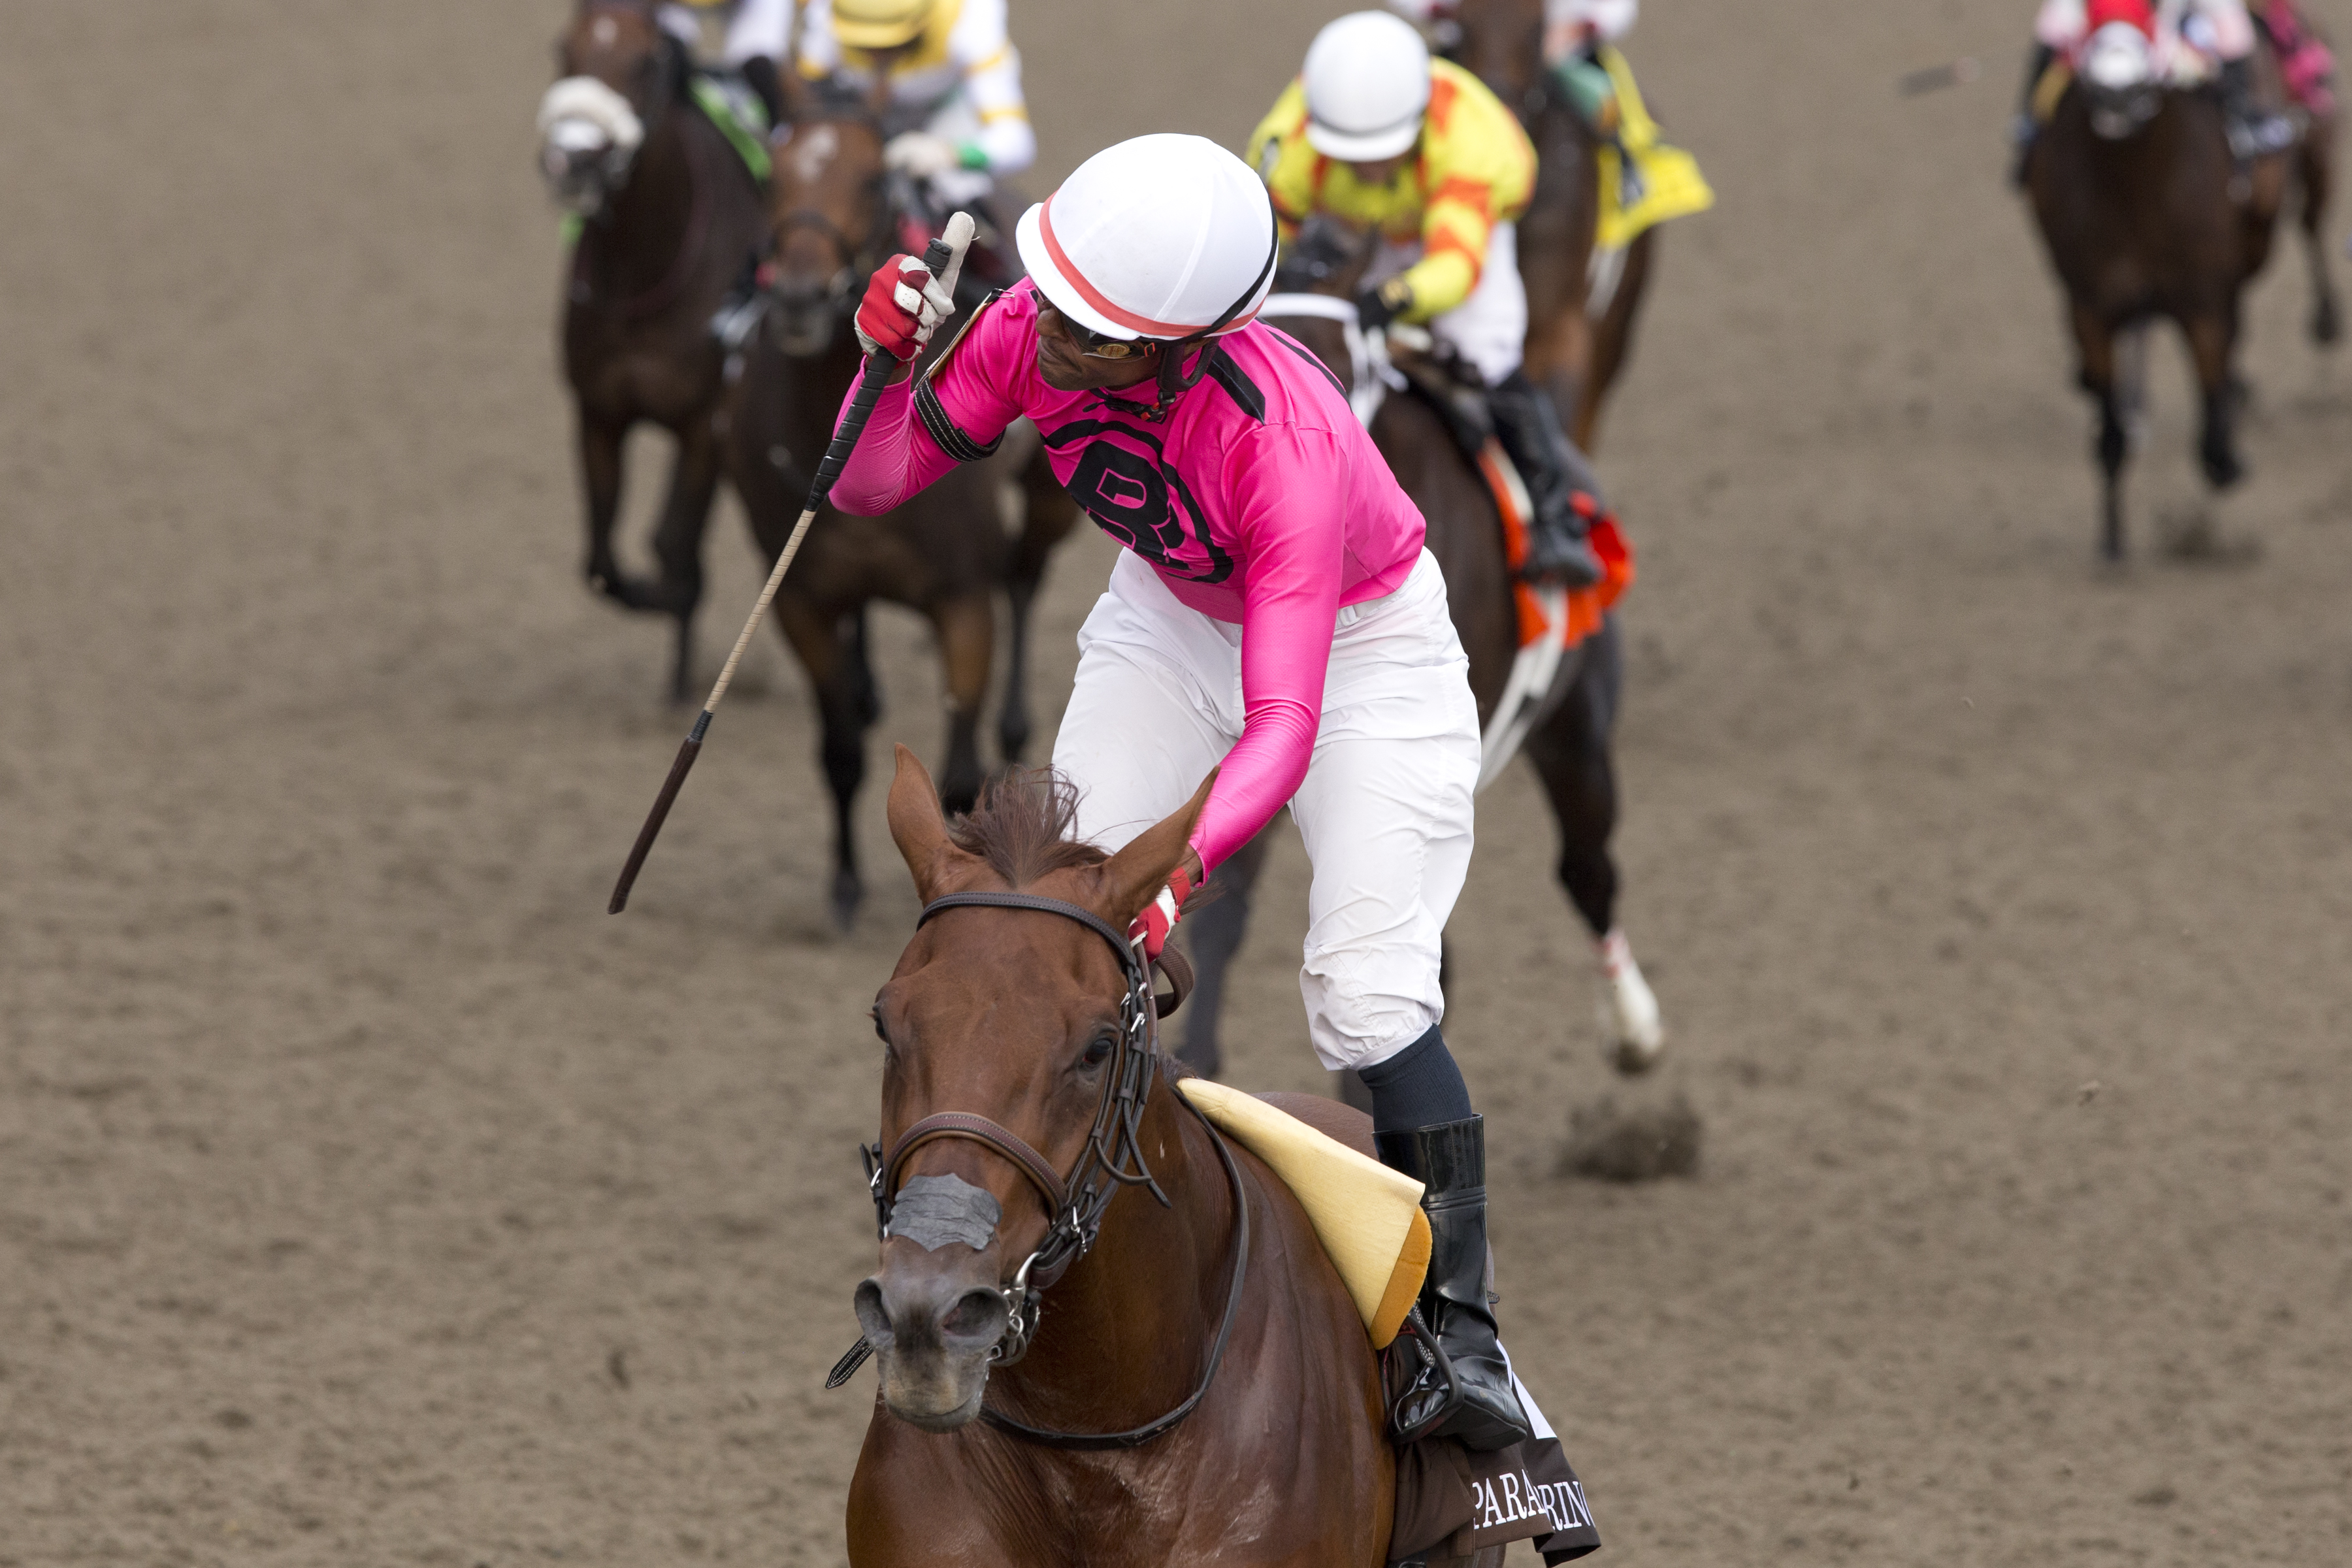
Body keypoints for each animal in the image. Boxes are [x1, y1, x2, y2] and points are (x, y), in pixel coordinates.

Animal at [538, 0, 762, 700]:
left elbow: (673, 548)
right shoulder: (599, 412)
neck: (646, 269)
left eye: (644, 61)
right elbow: (602, 565)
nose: (573, 159)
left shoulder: (702, 424)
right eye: (564, 49)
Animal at [729, 80, 1077, 926]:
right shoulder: (803, 600)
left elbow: (958, 776)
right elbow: (841, 748)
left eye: (869, 179)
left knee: (1024, 581)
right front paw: (845, 886)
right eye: (773, 171)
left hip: (1046, 506)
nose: (798, 297)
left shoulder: (962, 600)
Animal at [1176, 217, 1656, 1081]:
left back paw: (1635, 1028)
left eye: (1333, 368)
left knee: (1587, 869)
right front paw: (1198, 1062)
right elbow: (1225, 905)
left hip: (1575, 728)